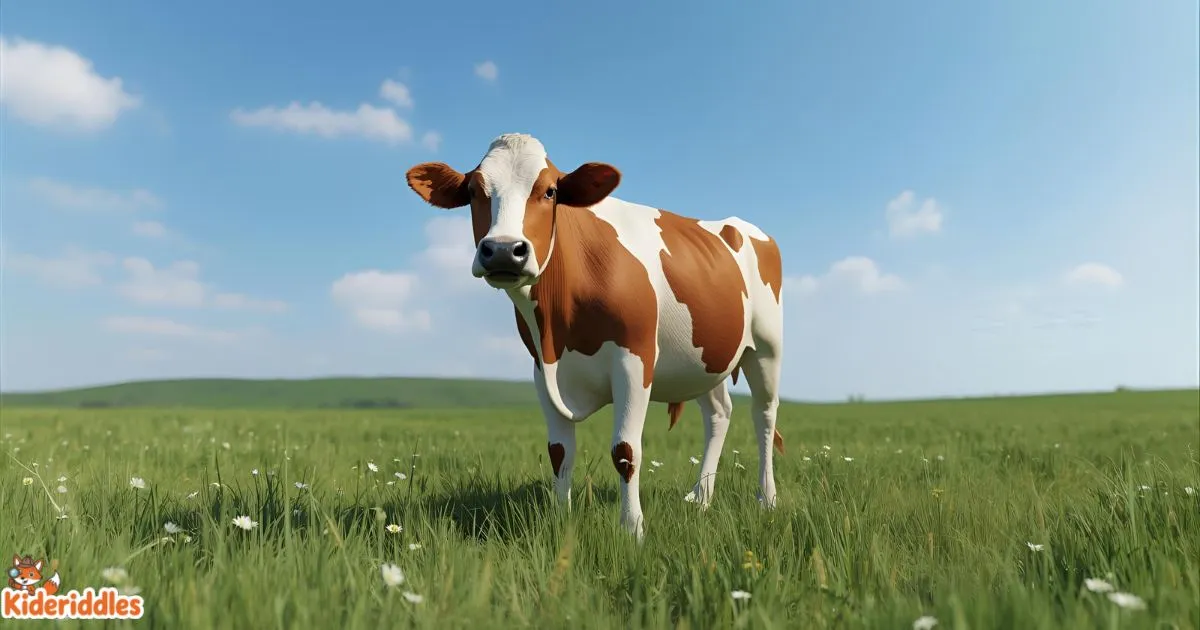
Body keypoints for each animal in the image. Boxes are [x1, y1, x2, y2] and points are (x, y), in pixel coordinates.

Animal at [404, 133, 784, 541]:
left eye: (550, 191)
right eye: (474, 191)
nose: (504, 250)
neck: (559, 330)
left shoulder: (634, 359)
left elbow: (626, 451)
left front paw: (633, 530)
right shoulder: (541, 367)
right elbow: (559, 451)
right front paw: (560, 520)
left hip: (766, 347)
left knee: (764, 415)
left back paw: (767, 498)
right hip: (704, 358)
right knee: (719, 414)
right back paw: (701, 498)